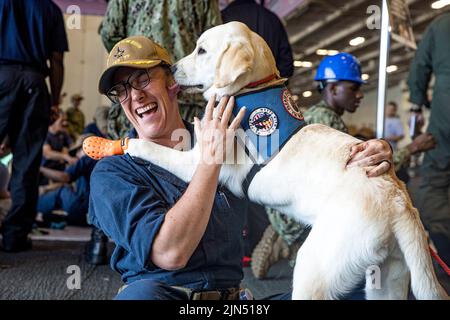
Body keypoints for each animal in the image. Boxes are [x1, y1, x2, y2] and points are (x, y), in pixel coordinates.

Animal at [118, 22, 446, 300]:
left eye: (201, 50)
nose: (172, 68)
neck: (249, 91)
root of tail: (399, 203)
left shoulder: (197, 162)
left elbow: (158, 149)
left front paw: (129, 143)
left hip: (314, 266)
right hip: (387, 279)